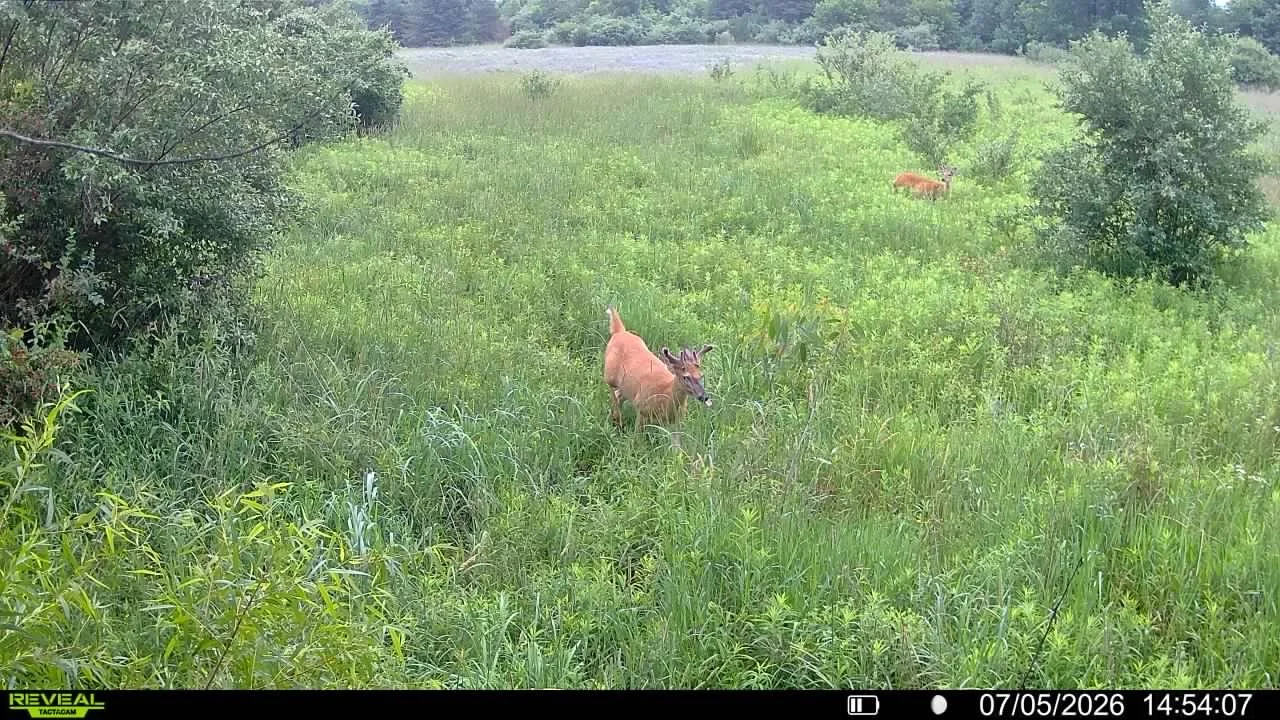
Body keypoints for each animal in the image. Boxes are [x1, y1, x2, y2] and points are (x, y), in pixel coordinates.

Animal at [603, 305, 714, 436]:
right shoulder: (642, 407)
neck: (666, 394)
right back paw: (618, 422)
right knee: (612, 392)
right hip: (610, 375)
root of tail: (620, 332)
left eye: (701, 375)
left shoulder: (676, 421)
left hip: (626, 387)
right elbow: (636, 436)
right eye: (685, 377)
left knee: (618, 395)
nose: (704, 397)